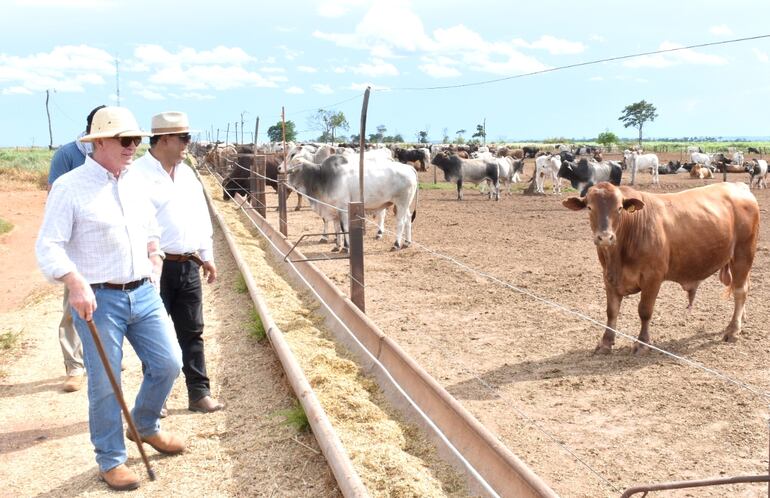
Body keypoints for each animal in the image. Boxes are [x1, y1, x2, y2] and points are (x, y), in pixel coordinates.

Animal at [560, 182, 760, 354]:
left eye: (619, 208)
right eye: (589, 207)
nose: (605, 237)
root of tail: (738, 186)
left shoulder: (652, 277)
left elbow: (644, 311)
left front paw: (642, 343)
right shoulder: (609, 277)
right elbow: (611, 311)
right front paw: (605, 342)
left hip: (743, 254)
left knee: (740, 291)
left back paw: (733, 330)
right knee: (743, 288)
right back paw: (741, 320)